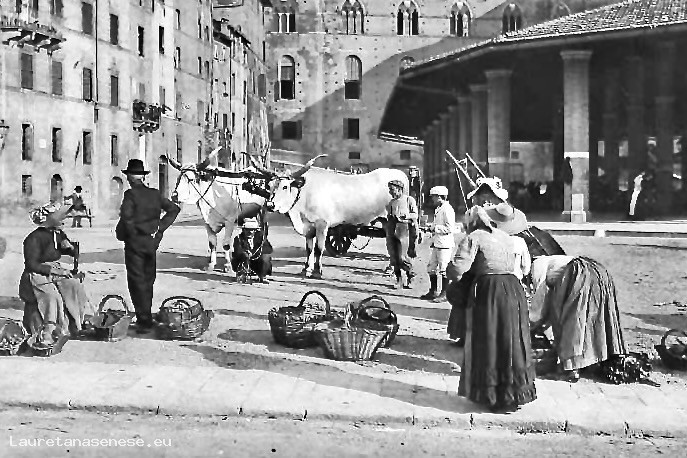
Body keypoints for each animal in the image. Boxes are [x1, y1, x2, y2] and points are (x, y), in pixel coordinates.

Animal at [249, 154, 409, 278]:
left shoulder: (322, 224)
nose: (270, 205)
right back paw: (391, 268)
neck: (305, 192)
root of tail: (399, 174)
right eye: (269, 186)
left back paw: (393, 269)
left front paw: (317, 272)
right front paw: (306, 269)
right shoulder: (308, 227)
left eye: (285, 186)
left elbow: (318, 249)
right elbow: (309, 249)